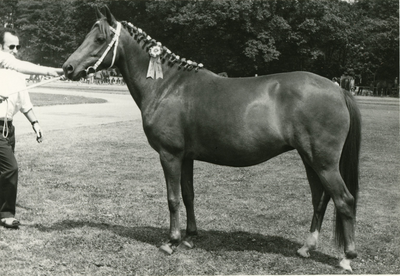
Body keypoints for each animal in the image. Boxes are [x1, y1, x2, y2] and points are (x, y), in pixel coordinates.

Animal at [63, 8, 362, 272]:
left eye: (99, 39)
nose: (68, 68)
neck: (167, 86)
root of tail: (338, 88)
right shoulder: (186, 157)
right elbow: (188, 195)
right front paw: (190, 236)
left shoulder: (169, 155)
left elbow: (172, 198)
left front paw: (172, 242)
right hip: (309, 159)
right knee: (320, 199)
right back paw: (306, 247)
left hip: (323, 163)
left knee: (344, 200)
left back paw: (347, 258)